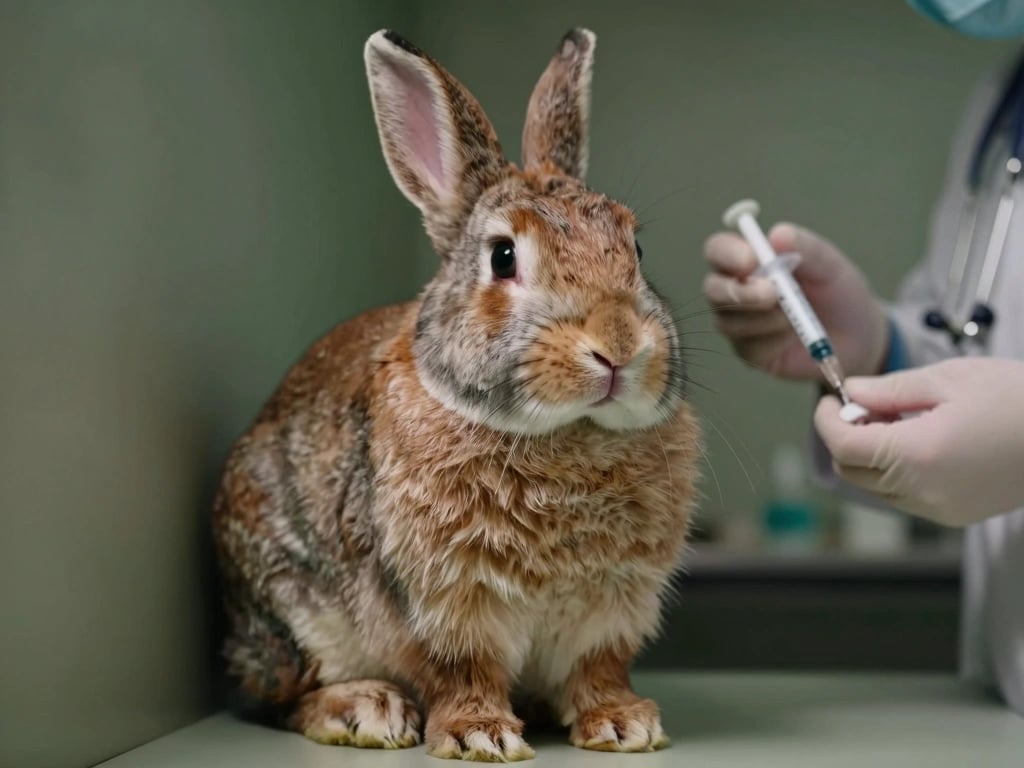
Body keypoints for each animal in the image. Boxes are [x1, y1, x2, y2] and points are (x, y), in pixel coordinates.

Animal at [212, 26, 702, 762]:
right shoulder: (440, 605)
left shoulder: (613, 610)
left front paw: (623, 725)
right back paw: (367, 711)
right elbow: (461, 672)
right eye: (503, 257)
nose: (618, 344)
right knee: (281, 698)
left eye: (636, 249)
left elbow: (597, 671)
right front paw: (481, 736)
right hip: (295, 613)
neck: (566, 435)